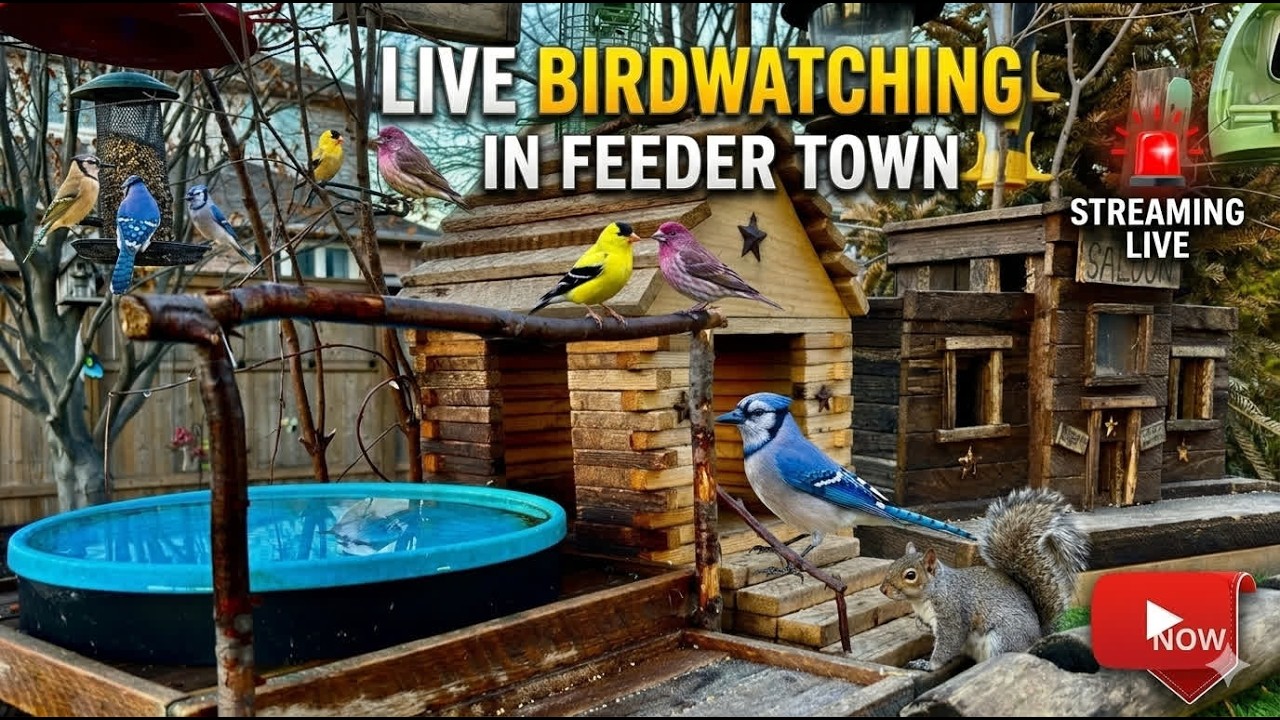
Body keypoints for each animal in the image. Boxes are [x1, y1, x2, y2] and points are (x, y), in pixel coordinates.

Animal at [878, 487, 1090, 672]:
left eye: (910, 575)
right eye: (893, 564)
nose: (883, 589)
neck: (927, 595)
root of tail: (1038, 636)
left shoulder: (953, 614)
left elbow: (948, 643)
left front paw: (927, 664)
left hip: (1003, 638)